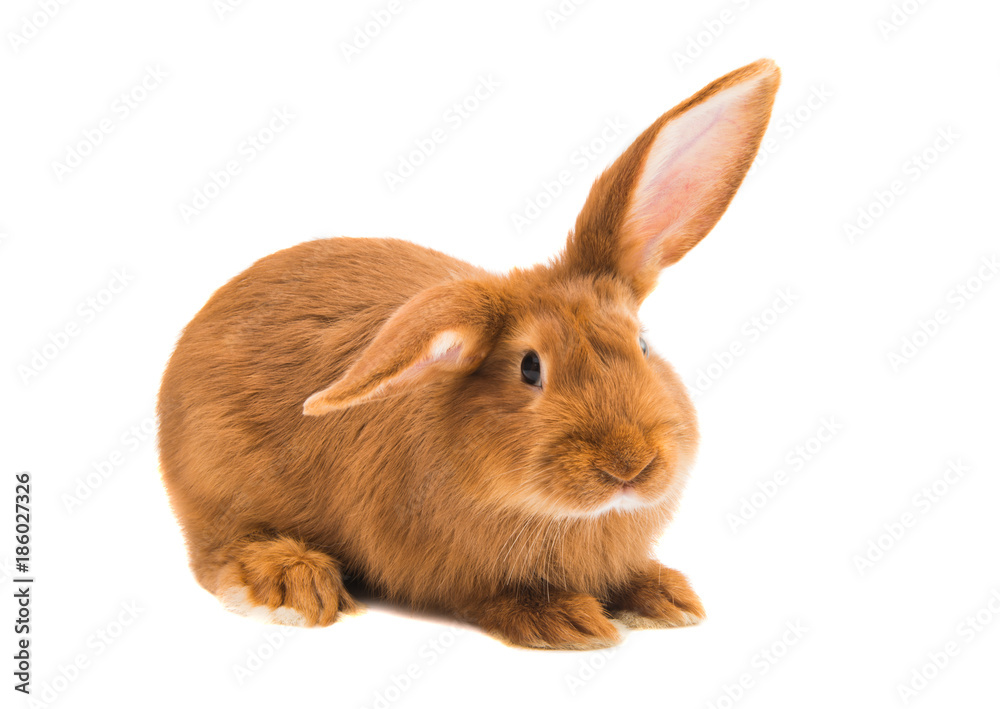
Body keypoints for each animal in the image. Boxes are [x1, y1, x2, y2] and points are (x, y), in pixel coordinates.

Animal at [157, 58, 780, 650]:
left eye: (644, 345)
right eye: (530, 367)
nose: (630, 465)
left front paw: (664, 597)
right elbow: (490, 595)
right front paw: (564, 620)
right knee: (217, 550)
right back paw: (293, 584)